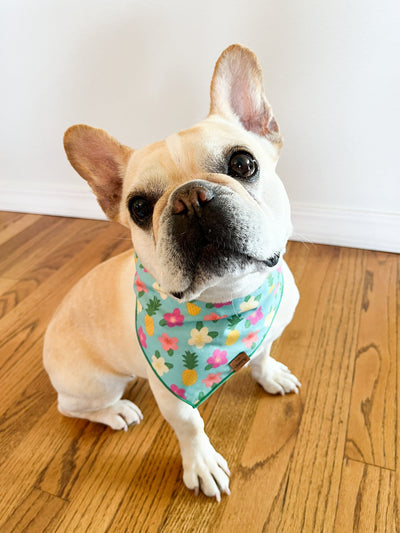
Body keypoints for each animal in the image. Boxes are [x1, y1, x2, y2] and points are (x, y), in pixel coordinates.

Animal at [43, 44, 300, 498]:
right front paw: (201, 464)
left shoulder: (267, 330)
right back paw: (115, 412)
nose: (190, 198)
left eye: (243, 163)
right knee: (71, 406)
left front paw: (269, 373)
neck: (230, 300)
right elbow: (190, 424)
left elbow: (264, 352)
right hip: (95, 382)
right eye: (138, 207)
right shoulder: (172, 394)